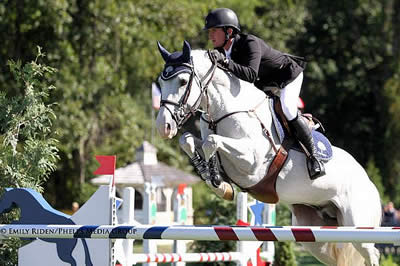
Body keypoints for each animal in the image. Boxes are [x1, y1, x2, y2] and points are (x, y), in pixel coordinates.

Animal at [155, 40, 382, 264]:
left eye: (183, 81)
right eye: (161, 82)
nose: (163, 127)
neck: (223, 112)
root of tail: (369, 182)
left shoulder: (252, 162)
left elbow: (212, 142)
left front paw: (219, 183)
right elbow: (188, 140)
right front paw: (212, 177)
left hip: (357, 226)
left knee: (372, 253)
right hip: (316, 235)